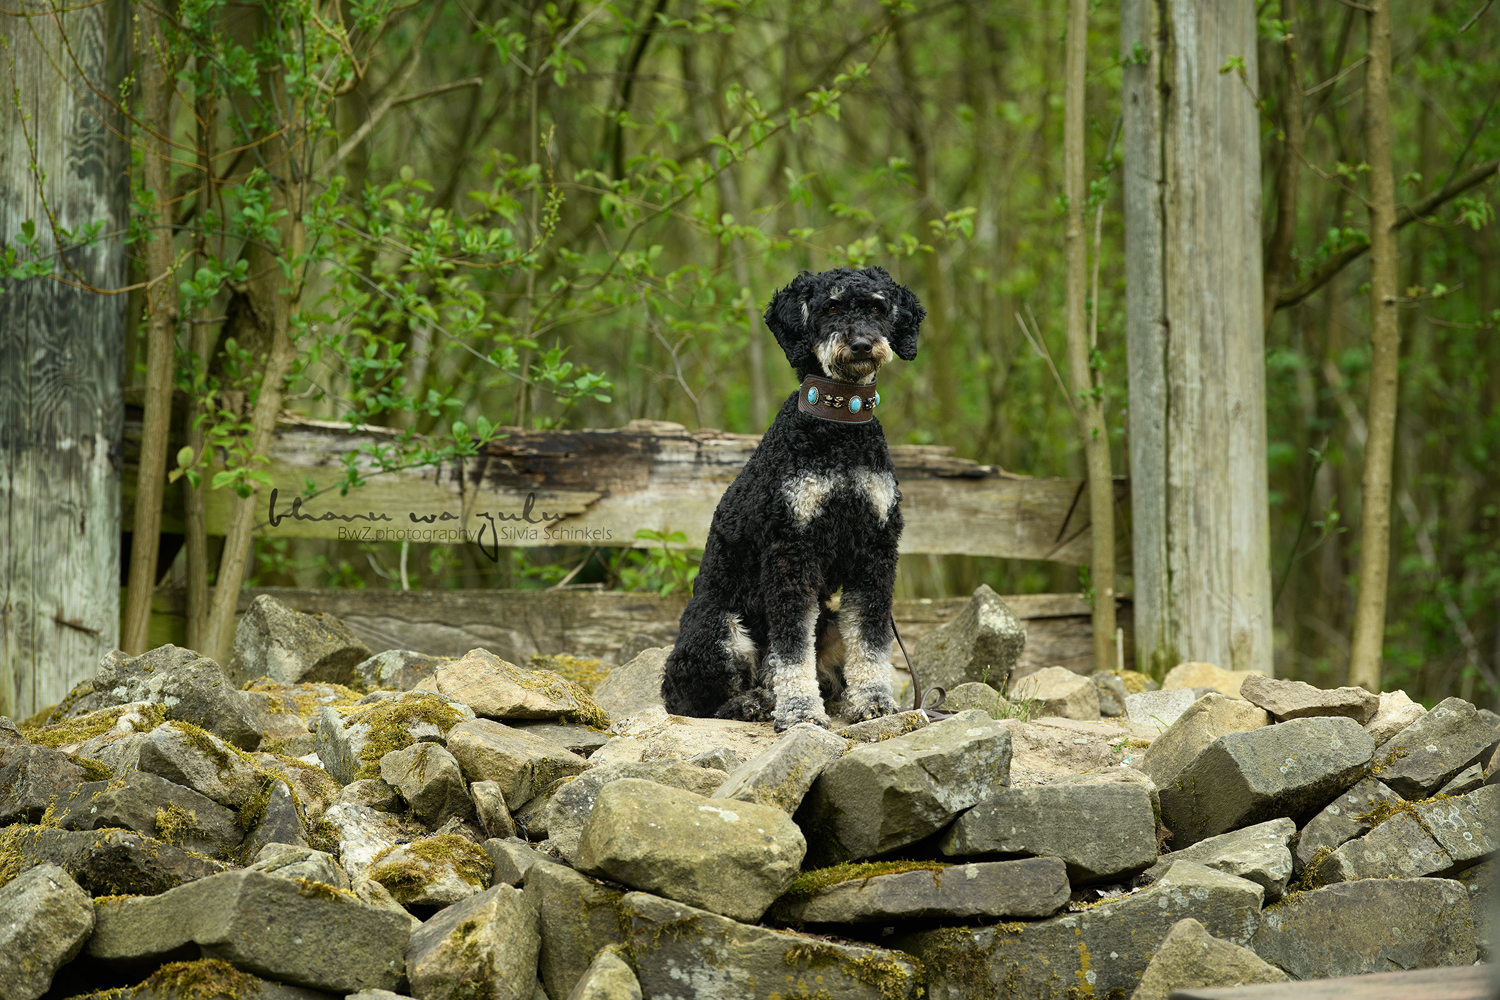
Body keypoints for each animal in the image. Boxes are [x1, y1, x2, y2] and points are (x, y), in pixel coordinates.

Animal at [660, 265, 918, 731]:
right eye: (830, 307)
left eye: (877, 308)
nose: (861, 345)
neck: (839, 431)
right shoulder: (791, 550)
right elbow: (793, 644)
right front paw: (800, 711)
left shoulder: (875, 551)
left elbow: (870, 637)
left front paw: (873, 700)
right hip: (719, 628)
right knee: (698, 700)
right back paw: (753, 704)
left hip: (828, 622)